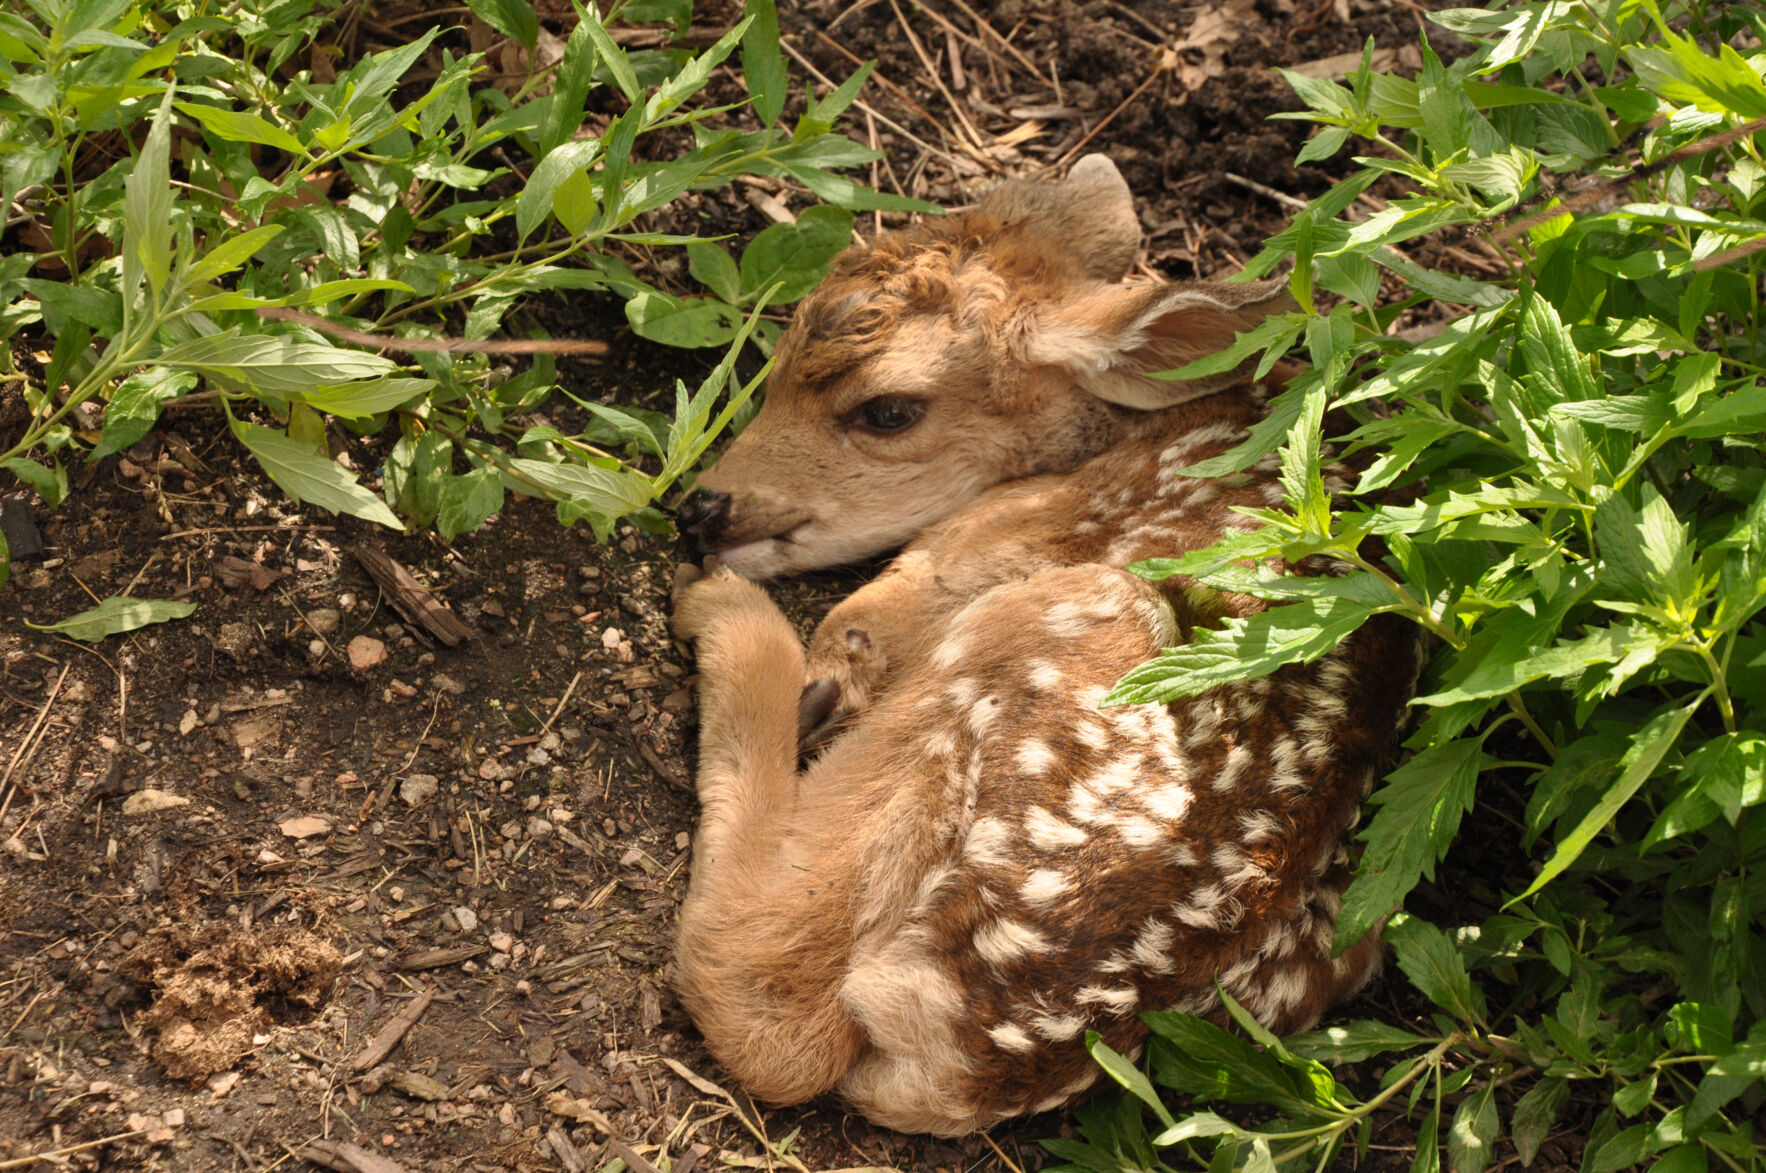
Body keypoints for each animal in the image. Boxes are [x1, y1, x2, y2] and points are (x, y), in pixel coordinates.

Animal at [667, 155, 1421, 1136]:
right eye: (783, 349)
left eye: (888, 410)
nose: (700, 506)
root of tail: (959, 1057)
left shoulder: (1006, 542)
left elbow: (871, 617)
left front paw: (815, 665)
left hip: (1059, 623)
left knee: (766, 1001)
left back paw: (731, 621)